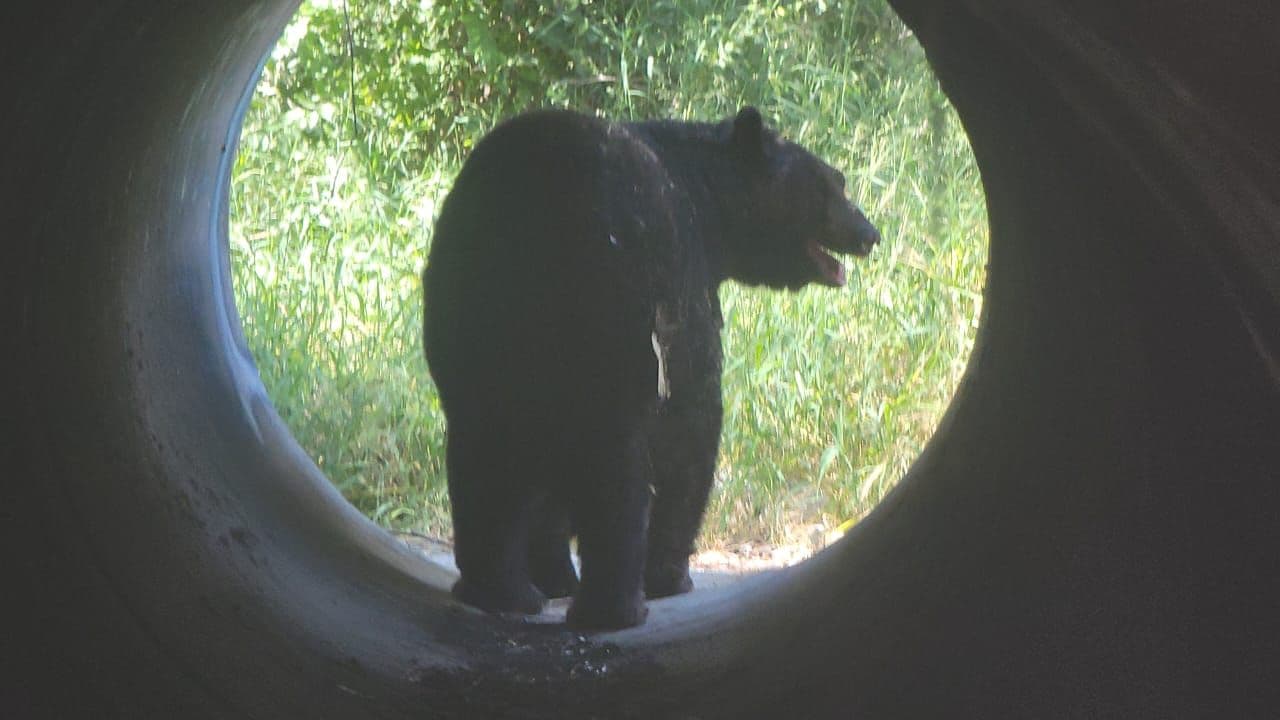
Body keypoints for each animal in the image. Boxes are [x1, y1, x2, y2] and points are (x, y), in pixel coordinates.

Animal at [422, 107, 880, 630]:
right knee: (614, 467)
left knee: (482, 455)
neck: (706, 196)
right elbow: (694, 420)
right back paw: (615, 606)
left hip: (474, 323)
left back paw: (501, 591)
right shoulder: (685, 283)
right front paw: (669, 575)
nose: (870, 234)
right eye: (832, 184)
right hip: (615, 316)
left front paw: (553, 574)